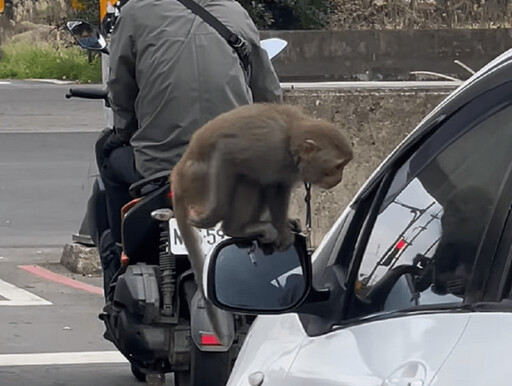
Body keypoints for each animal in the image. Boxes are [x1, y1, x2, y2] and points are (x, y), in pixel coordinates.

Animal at [170, 103, 354, 344]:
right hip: (198, 181)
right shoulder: (268, 147)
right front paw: (213, 214)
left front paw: (284, 227)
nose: (339, 179)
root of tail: (178, 174)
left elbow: (278, 187)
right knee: (246, 178)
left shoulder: (284, 166)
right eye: (337, 166)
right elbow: (226, 155)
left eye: (344, 166)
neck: (290, 143)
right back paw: (235, 227)